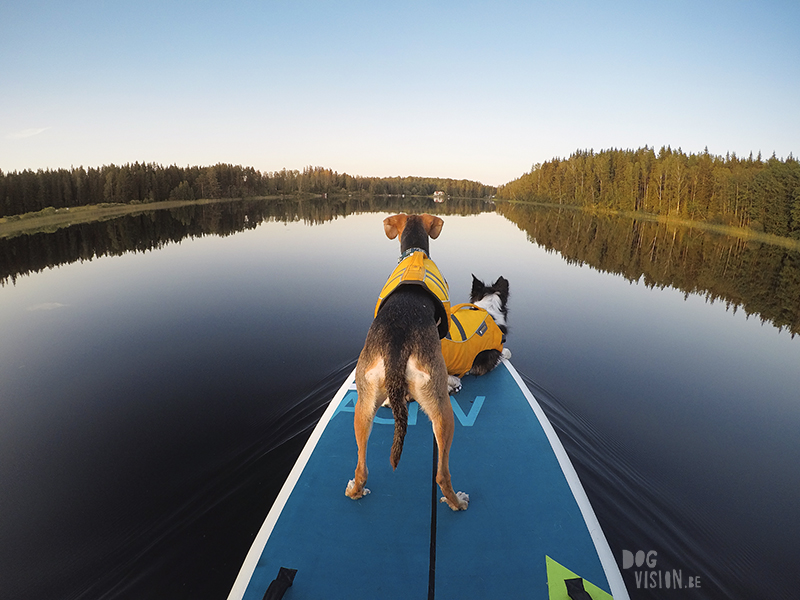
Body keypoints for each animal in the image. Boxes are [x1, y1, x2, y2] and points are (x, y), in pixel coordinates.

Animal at [344, 213, 468, 508]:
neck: (415, 252)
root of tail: (396, 343)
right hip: (443, 411)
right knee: (441, 474)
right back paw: (456, 502)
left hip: (362, 406)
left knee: (361, 468)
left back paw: (355, 490)